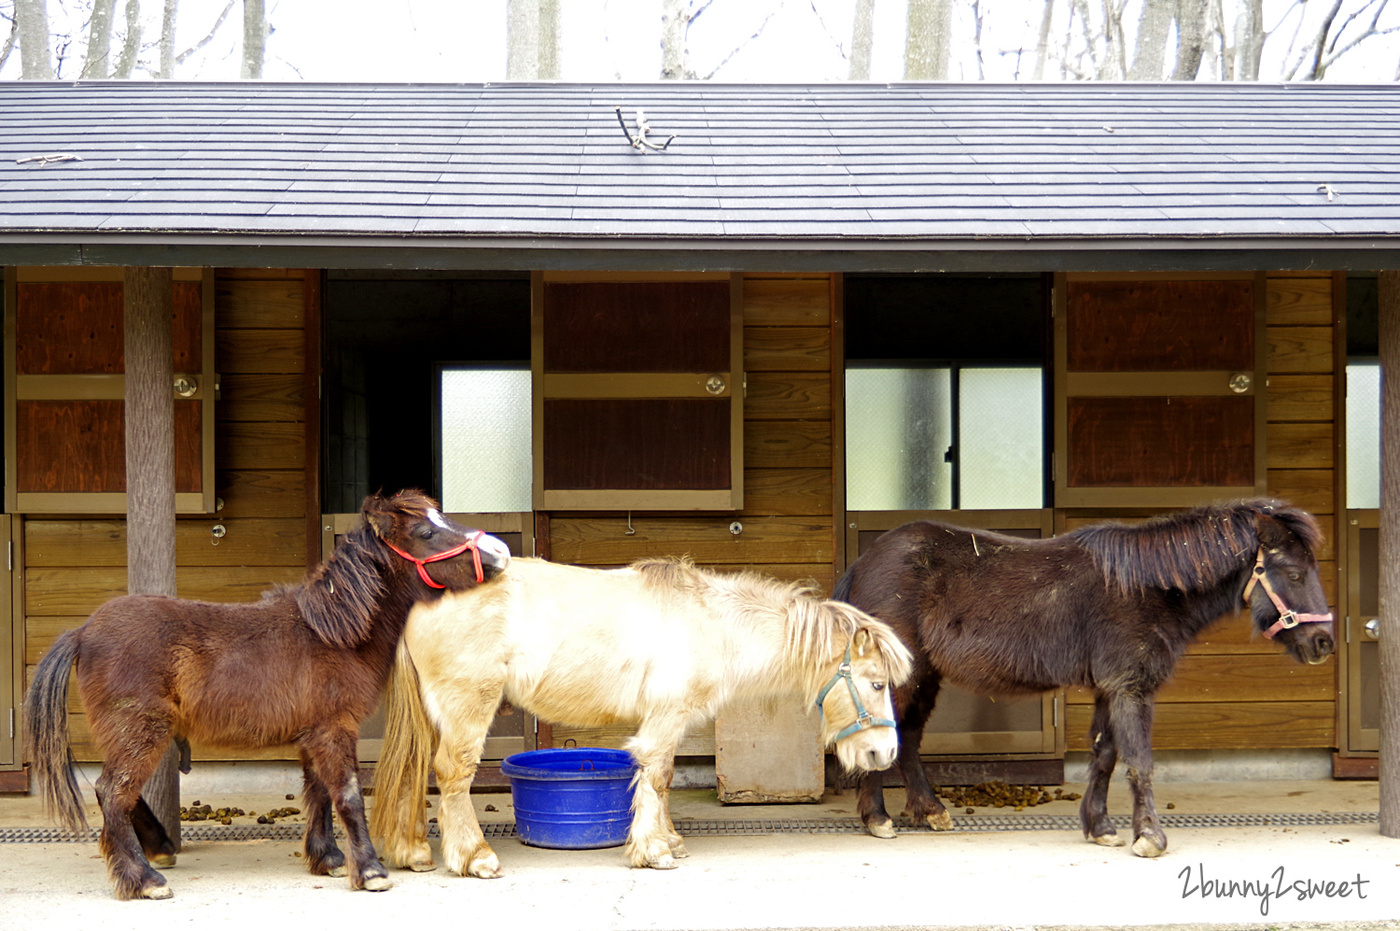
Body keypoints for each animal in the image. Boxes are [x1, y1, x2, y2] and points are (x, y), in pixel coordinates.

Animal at [21, 490, 512, 896]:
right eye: (426, 531)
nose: (500, 552)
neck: (330, 634)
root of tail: (83, 632)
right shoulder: (335, 729)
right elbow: (349, 794)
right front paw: (371, 871)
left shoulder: (313, 734)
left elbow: (318, 793)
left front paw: (329, 859)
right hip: (141, 731)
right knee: (112, 792)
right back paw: (144, 879)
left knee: (118, 793)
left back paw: (159, 849)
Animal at [372, 554, 912, 873]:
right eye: (877, 683)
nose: (884, 753)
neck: (711, 623)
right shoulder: (665, 719)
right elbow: (654, 775)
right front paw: (654, 851)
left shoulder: (667, 721)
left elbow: (665, 779)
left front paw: (669, 841)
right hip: (469, 705)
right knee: (453, 773)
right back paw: (474, 857)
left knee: (417, 770)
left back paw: (414, 851)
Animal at [828, 501, 1332, 856]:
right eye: (1293, 573)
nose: (1324, 642)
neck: (1147, 588)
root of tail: (865, 563)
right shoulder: (1131, 687)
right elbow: (1139, 761)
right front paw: (1150, 838)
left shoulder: (1111, 688)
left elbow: (1105, 756)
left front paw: (1101, 827)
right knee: (879, 733)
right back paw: (878, 819)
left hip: (924, 675)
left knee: (909, 737)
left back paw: (929, 812)